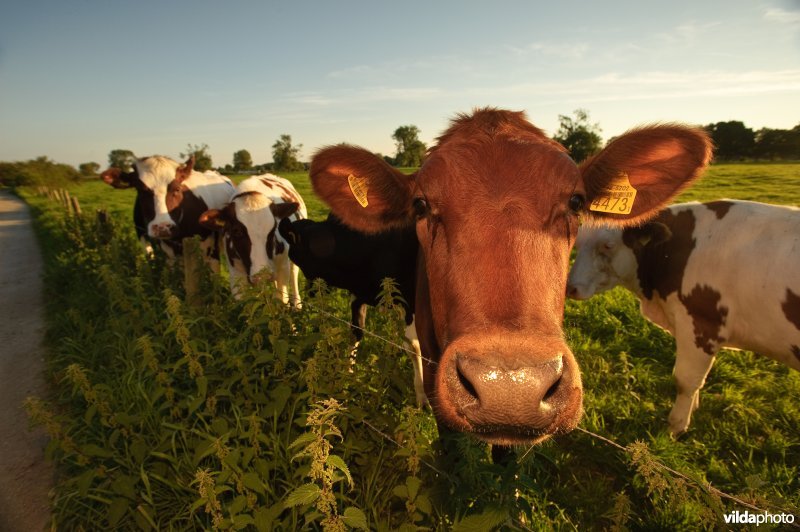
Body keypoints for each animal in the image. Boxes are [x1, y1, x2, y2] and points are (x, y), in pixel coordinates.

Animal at [199, 175, 306, 306]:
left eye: (273, 229)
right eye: (236, 231)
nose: (263, 276)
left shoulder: (283, 265)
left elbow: (281, 299)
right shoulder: (236, 274)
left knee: (294, 273)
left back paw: (297, 303)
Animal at [280, 212, 428, 404]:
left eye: (295, 256)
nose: (310, 293)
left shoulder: (411, 302)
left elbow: (414, 347)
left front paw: (423, 396)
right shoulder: (358, 294)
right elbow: (356, 331)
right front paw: (347, 375)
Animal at [564, 200, 800, 432]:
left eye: (607, 245)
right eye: (578, 241)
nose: (571, 288)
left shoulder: (700, 326)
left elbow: (685, 380)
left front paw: (676, 425)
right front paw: (692, 408)